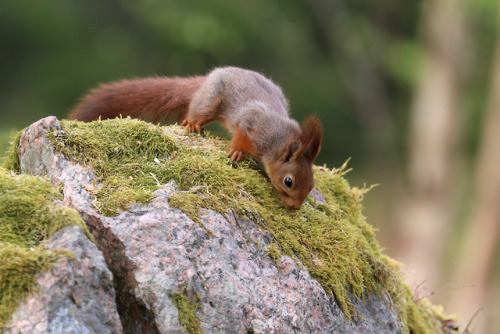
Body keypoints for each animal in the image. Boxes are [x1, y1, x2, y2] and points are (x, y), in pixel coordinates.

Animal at [67, 66, 324, 207]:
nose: (295, 207)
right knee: (197, 111)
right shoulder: (251, 125)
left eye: (312, 184)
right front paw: (237, 152)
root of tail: (209, 77)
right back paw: (192, 123)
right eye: (288, 181)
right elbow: (240, 137)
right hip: (211, 101)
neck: (280, 141)